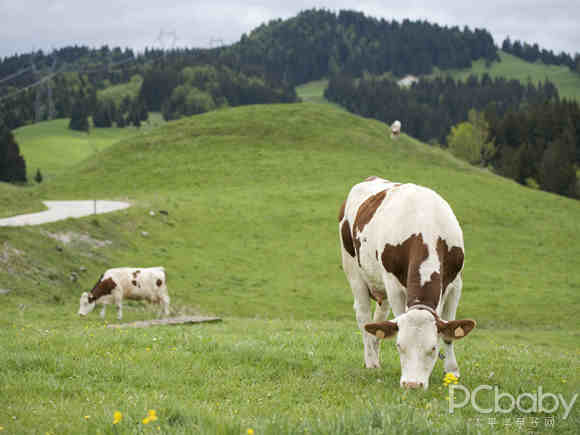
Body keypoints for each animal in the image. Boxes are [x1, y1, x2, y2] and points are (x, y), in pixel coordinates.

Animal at [340, 178, 476, 392]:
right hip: (353, 268)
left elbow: (449, 332)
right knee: (363, 315)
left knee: (378, 318)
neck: (425, 227)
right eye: (399, 346)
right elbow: (397, 318)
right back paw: (371, 361)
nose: (412, 384)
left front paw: (452, 371)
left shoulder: (456, 283)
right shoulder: (392, 283)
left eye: (433, 348)